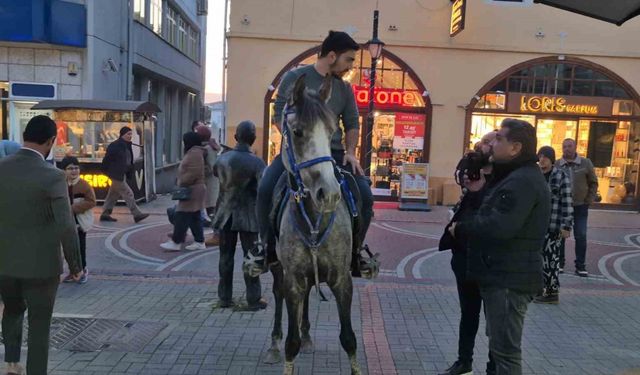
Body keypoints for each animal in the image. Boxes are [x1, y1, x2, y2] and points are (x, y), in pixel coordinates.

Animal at [264, 74, 362, 375]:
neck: (315, 219)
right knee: (278, 294)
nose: (328, 194)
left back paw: (308, 334)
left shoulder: (342, 279)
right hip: (278, 268)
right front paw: (285, 345)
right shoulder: (293, 278)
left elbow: (349, 339)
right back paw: (273, 343)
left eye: (332, 132)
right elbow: (291, 344)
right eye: (297, 132)